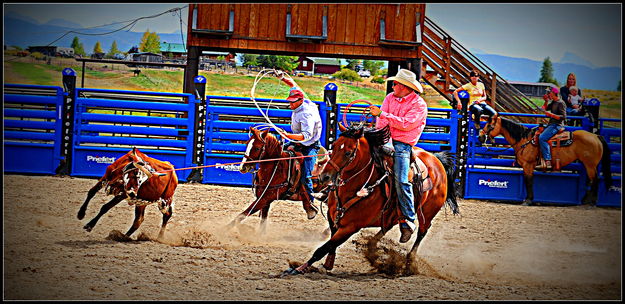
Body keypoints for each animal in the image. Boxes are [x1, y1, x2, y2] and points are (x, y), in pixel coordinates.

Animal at [286, 124, 456, 276]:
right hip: (393, 214)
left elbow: (322, 249)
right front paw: (328, 264)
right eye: (333, 146)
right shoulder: (333, 217)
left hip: (427, 213)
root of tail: (437, 161)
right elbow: (331, 243)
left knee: (422, 231)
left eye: (348, 153)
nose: (324, 177)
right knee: (388, 225)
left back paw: (409, 263)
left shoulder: (351, 227)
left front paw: (298, 268)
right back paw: (373, 246)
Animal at [478, 114, 608, 207]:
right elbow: (528, 181)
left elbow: (529, 181)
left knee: (594, 180)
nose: (480, 137)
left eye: (489, 125)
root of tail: (596, 136)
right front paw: (529, 199)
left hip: (590, 164)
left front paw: (528, 200)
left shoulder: (528, 165)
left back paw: (589, 202)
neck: (524, 139)